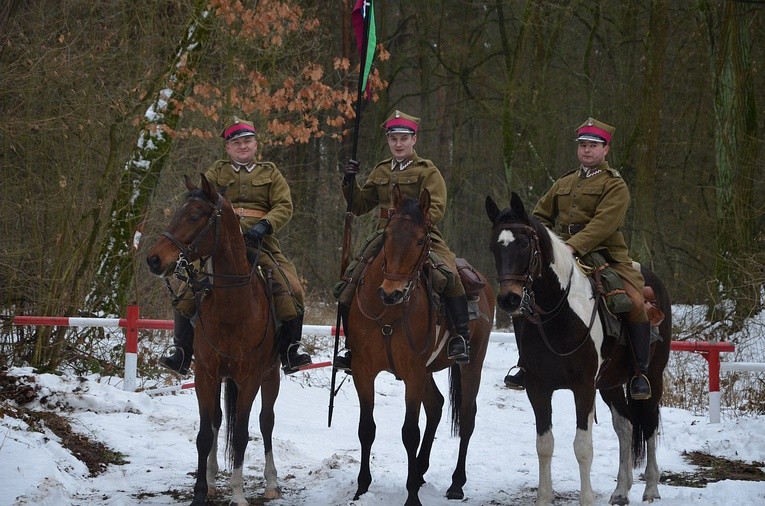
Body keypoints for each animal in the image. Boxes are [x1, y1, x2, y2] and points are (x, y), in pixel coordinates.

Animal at [145, 175, 280, 506]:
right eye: (178, 212)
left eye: (195, 216)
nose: (154, 259)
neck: (234, 305)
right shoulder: (205, 374)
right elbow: (205, 432)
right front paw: (200, 491)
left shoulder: (250, 378)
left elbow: (242, 434)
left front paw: (238, 493)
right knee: (219, 420)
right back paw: (211, 474)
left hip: (271, 376)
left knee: (266, 422)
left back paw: (271, 482)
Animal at [346, 187, 496, 506]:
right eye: (387, 235)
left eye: (420, 239)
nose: (391, 293)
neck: (388, 314)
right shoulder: (363, 370)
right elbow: (366, 428)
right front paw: (362, 488)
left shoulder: (413, 374)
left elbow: (409, 433)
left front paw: (412, 495)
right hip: (428, 371)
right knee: (437, 406)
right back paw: (421, 469)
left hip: (471, 365)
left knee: (467, 417)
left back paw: (456, 483)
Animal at [486, 192, 672, 504]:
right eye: (493, 247)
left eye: (524, 244)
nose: (509, 299)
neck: (558, 314)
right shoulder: (538, 387)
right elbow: (544, 444)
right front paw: (544, 498)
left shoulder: (583, 386)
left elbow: (583, 447)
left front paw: (586, 498)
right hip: (610, 383)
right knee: (625, 426)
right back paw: (621, 490)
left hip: (652, 377)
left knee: (649, 423)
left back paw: (651, 487)